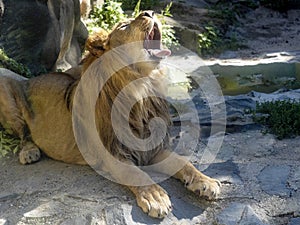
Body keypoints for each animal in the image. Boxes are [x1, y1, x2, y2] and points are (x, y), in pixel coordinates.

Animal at [0, 11, 220, 218]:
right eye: (123, 26)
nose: (150, 12)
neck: (141, 87)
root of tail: (30, 79)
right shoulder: (111, 153)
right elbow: (135, 173)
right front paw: (155, 197)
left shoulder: (151, 147)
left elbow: (183, 162)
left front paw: (205, 181)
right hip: (6, 86)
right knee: (23, 135)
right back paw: (29, 152)